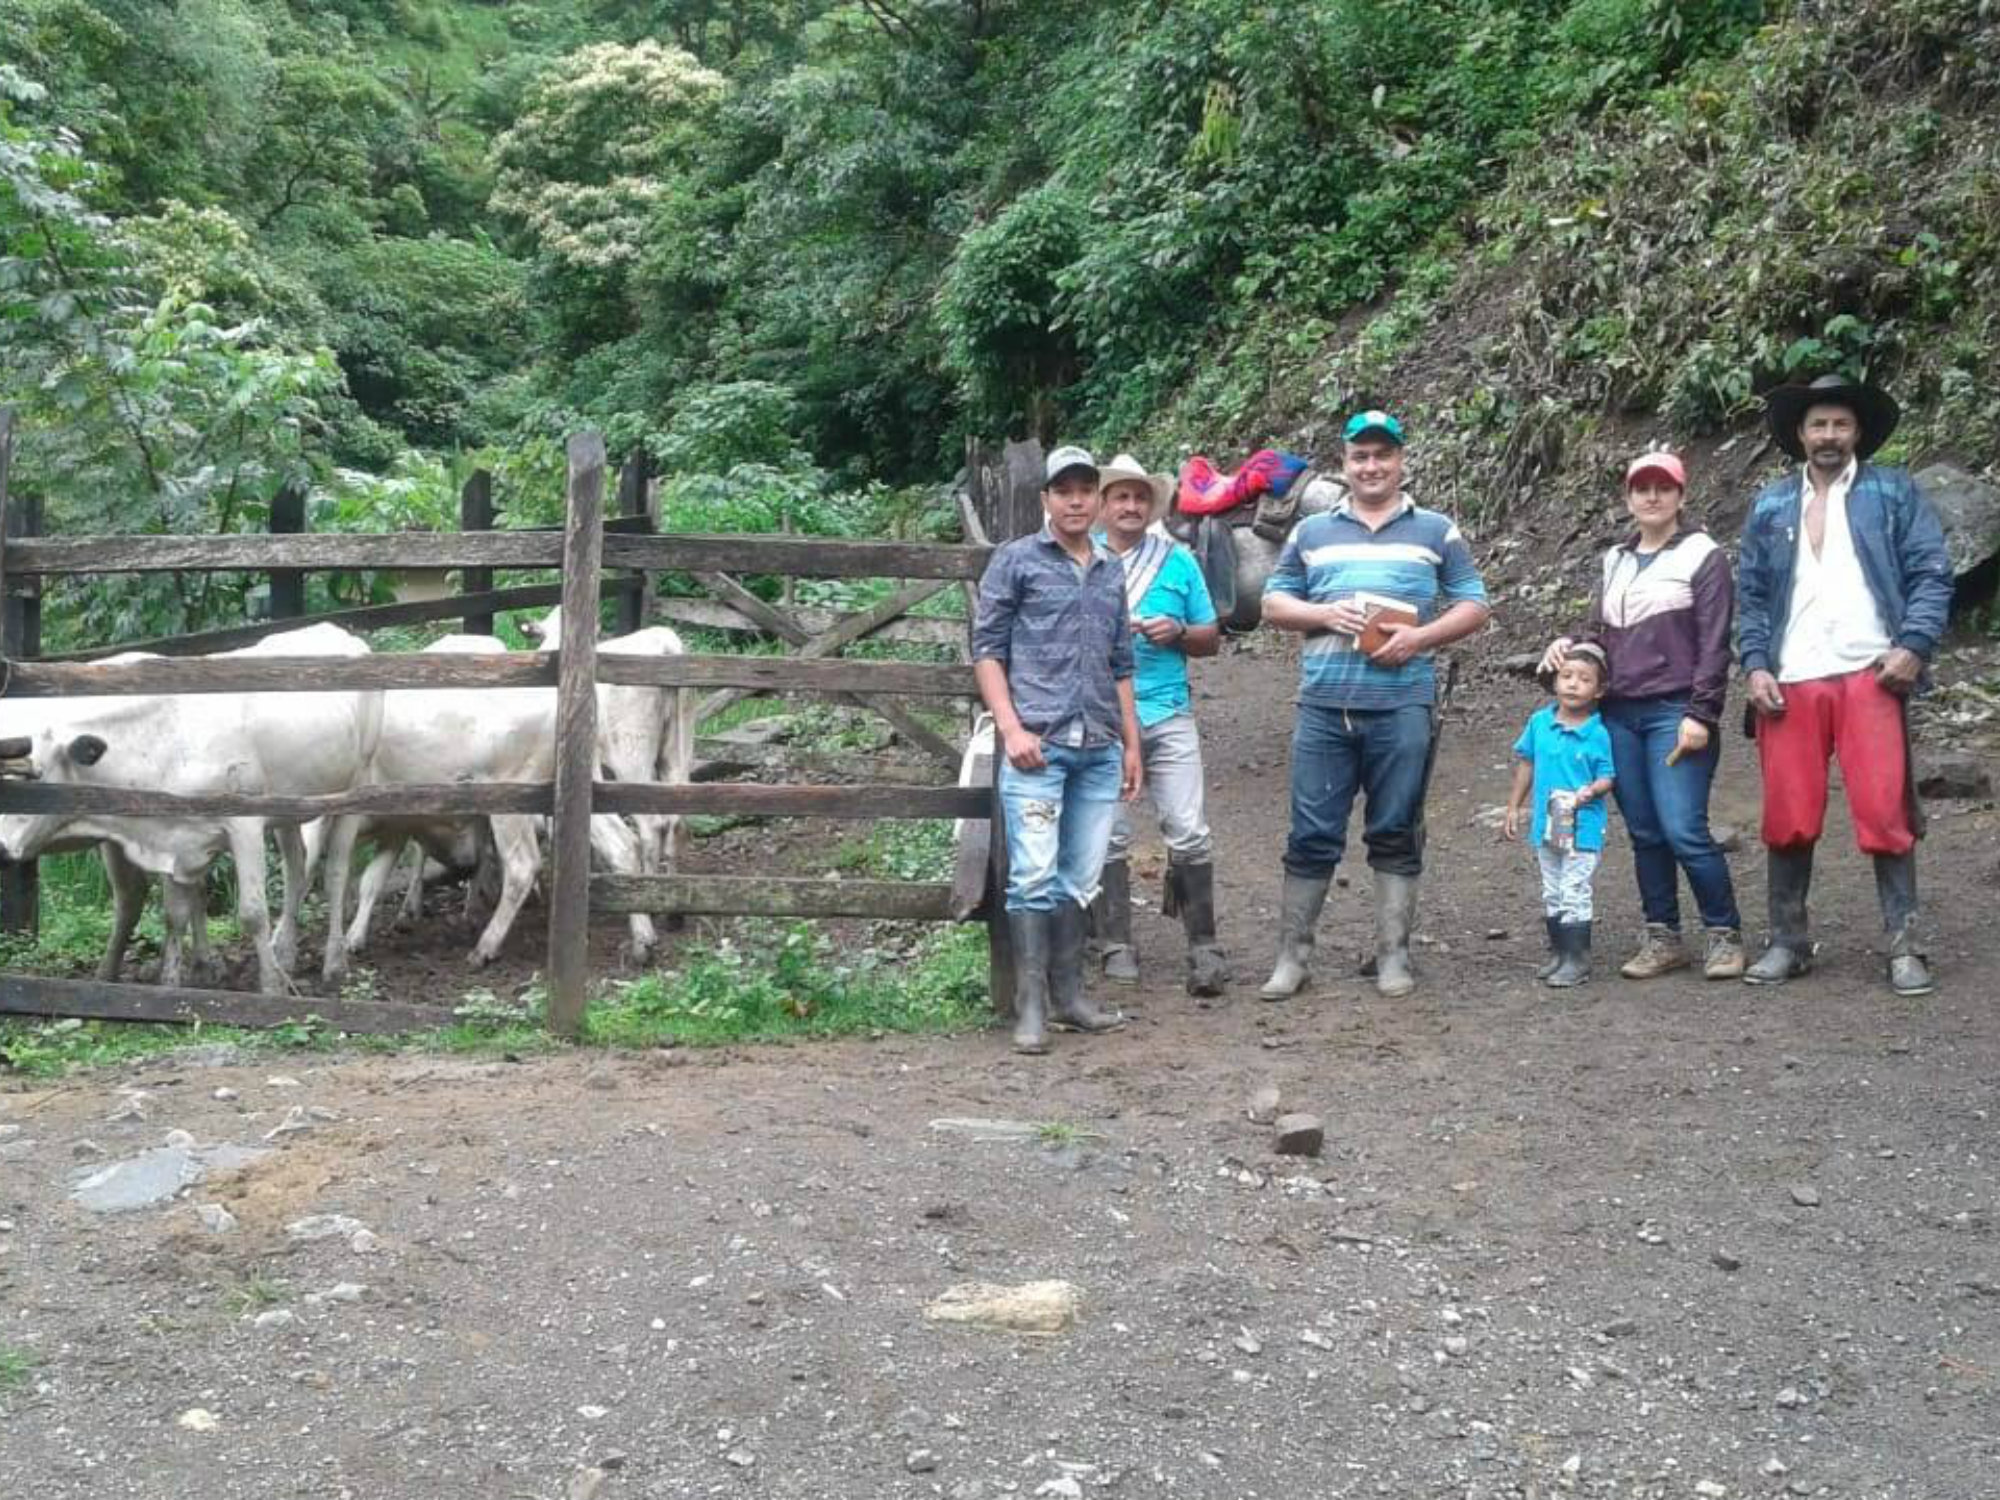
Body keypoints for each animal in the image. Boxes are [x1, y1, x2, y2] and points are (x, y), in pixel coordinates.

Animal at [0, 624, 378, 1000]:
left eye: (35, 775)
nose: (1, 849)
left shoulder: (243, 824)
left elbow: (253, 913)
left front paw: (270, 988)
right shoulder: (174, 838)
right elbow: (174, 913)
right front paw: (170, 983)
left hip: (356, 786)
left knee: (336, 874)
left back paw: (334, 964)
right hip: (289, 807)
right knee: (295, 869)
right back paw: (285, 953)